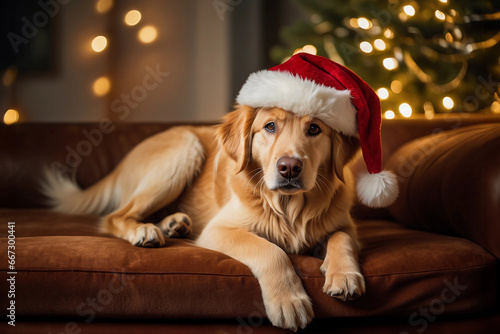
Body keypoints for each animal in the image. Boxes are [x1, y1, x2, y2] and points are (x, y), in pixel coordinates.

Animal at [42, 105, 364, 330]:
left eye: (314, 129)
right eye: (270, 126)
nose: (289, 167)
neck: (289, 207)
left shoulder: (345, 225)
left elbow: (341, 236)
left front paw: (345, 274)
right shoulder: (217, 229)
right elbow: (271, 250)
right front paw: (289, 300)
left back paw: (173, 224)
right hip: (184, 149)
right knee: (116, 215)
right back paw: (145, 231)